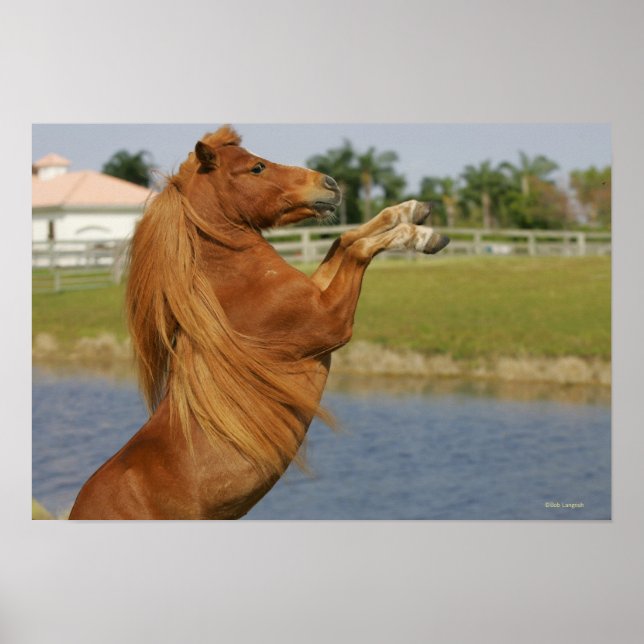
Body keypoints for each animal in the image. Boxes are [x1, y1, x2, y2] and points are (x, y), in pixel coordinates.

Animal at [68, 125, 449, 520]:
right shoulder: (332, 321)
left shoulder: (317, 293)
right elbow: (357, 249)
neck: (239, 285)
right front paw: (423, 236)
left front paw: (413, 210)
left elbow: (343, 239)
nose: (329, 183)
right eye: (257, 168)